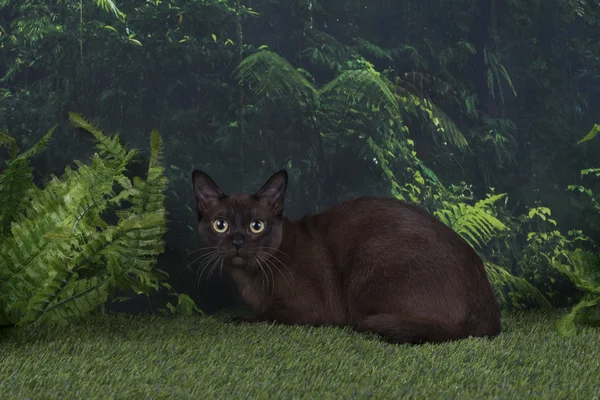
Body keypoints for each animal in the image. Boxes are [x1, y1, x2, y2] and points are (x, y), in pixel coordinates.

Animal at [192, 169, 502, 344]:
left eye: (257, 225)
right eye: (221, 225)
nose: (237, 241)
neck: (249, 279)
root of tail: (488, 309)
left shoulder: (309, 310)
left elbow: (263, 316)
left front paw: (237, 319)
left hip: (372, 256)